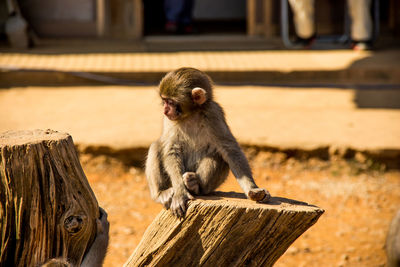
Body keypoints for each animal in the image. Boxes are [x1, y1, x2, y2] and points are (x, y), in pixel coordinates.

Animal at [145, 66, 270, 218]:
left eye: (171, 102)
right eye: (164, 100)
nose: (165, 110)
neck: (191, 115)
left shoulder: (213, 113)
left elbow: (230, 149)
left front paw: (253, 188)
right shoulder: (170, 120)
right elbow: (171, 150)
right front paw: (180, 192)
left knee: (217, 155)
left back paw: (195, 185)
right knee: (156, 146)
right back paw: (161, 193)